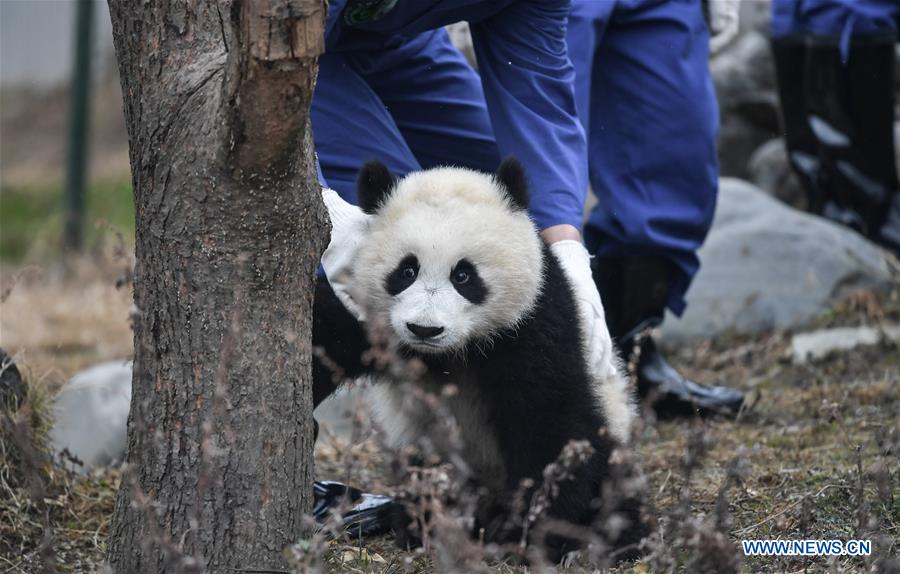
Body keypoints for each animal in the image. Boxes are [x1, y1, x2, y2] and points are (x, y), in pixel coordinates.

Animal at [312, 158, 648, 561]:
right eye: (406, 271)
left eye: (463, 275)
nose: (424, 329)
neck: (445, 355)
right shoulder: (363, 319)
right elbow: (321, 337)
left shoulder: (533, 323)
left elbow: (549, 417)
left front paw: (540, 533)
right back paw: (419, 522)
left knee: (610, 482)